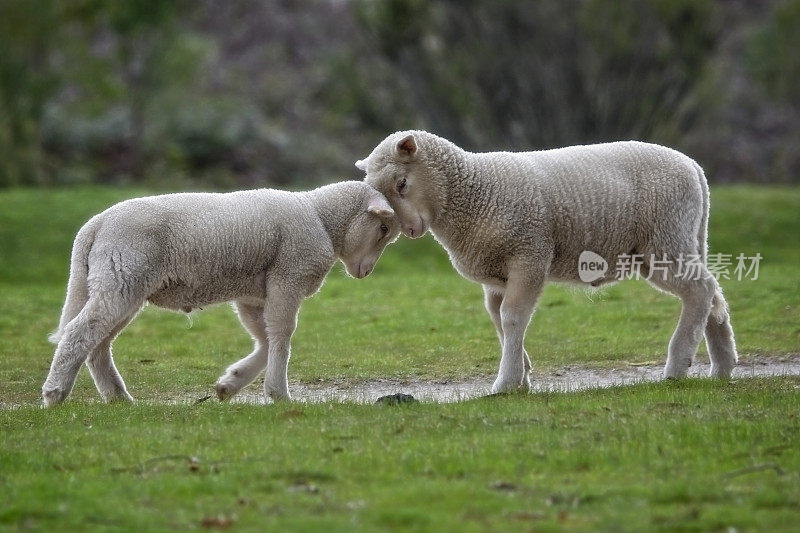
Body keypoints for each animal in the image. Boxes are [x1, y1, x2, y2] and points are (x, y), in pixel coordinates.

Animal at [42, 181, 398, 406]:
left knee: (98, 345)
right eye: (383, 229)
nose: (366, 272)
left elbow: (266, 338)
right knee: (78, 333)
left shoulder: (253, 295)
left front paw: (231, 383)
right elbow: (282, 336)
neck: (321, 218)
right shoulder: (288, 278)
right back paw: (54, 394)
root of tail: (94, 225)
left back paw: (118, 399)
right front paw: (279, 394)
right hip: (121, 279)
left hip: (120, 285)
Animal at [356, 131, 736, 392]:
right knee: (713, 294)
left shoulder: (529, 255)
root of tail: (694, 168)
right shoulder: (497, 275)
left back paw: (678, 365)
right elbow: (498, 318)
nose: (409, 230)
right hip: (683, 239)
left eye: (402, 183)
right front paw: (522, 373)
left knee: (700, 291)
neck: (475, 191)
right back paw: (723, 367)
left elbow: (512, 317)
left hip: (664, 240)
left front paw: (506, 383)